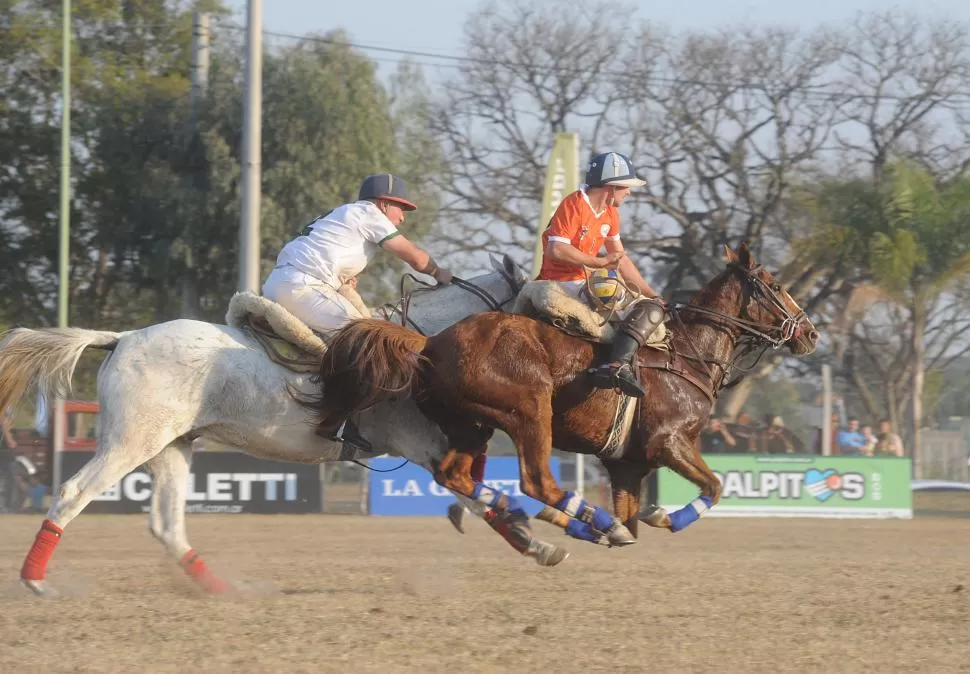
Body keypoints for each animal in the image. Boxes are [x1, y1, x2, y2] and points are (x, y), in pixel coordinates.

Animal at [0, 256, 568, 592]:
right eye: (549, 310)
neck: (424, 344)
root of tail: (121, 338)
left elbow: (478, 489)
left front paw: (537, 538)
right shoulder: (423, 444)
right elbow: (475, 491)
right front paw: (537, 538)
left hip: (172, 447)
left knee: (165, 524)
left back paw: (219, 588)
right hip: (130, 443)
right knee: (73, 492)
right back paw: (34, 579)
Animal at [306, 244, 812, 548]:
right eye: (777, 286)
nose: (810, 333)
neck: (689, 354)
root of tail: (429, 343)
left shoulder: (627, 465)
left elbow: (636, 514)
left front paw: (626, 523)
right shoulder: (669, 442)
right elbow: (715, 486)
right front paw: (663, 516)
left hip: (473, 425)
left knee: (455, 474)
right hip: (530, 410)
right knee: (536, 482)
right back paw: (582, 520)